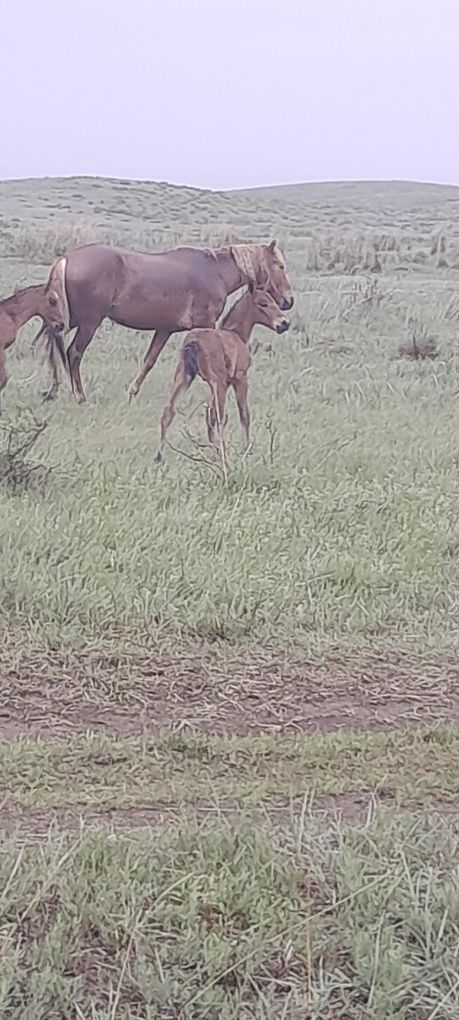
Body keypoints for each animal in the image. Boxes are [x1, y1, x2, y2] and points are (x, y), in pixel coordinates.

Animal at [43, 238, 293, 401]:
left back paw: (53, 391)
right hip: (88, 323)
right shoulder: (205, 324)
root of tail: (66, 258)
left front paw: (133, 392)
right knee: (73, 353)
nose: (289, 301)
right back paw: (79, 396)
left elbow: (149, 361)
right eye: (280, 265)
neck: (214, 272)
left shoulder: (164, 329)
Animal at [156, 285, 289, 465]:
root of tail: (193, 342)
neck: (236, 333)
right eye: (263, 303)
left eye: (273, 300)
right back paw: (219, 454)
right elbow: (244, 415)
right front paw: (245, 450)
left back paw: (159, 457)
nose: (284, 323)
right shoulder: (239, 378)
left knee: (169, 411)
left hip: (184, 376)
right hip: (217, 383)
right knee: (215, 417)